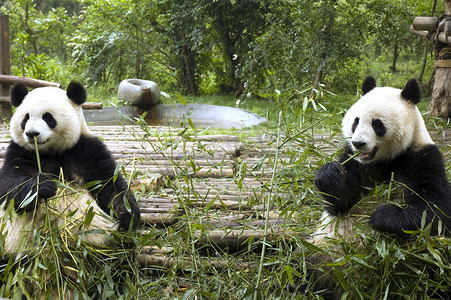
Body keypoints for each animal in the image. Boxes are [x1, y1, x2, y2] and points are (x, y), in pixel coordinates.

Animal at [0, 81, 141, 296]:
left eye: (48, 117)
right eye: (25, 118)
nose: (31, 134)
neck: (51, 152)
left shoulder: (87, 150)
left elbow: (110, 185)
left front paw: (127, 214)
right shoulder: (19, 151)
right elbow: (9, 187)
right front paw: (44, 185)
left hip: (104, 241)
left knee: (119, 259)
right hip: (10, 246)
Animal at [308, 77, 451, 298]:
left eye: (377, 124)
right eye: (356, 121)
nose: (358, 143)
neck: (385, 160)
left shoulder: (423, 157)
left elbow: (436, 209)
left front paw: (380, 216)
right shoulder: (355, 162)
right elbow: (341, 202)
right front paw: (329, 175)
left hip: (430, 260)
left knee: (436, 268)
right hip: (321, 253)